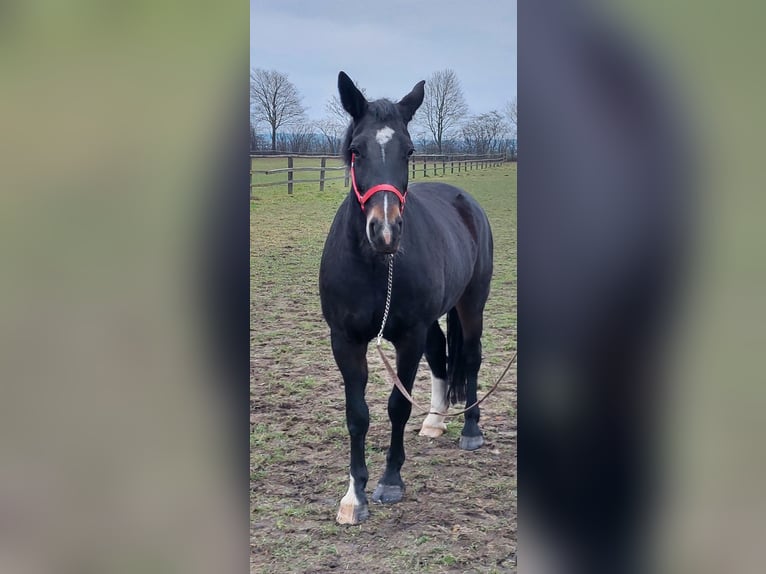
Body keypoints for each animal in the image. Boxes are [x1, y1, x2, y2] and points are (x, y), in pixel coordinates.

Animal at [319, 71, 494, 525]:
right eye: (356, 150)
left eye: (409, 150)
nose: (385, 231)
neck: (374, 266)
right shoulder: (345, 340)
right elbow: (357, 415)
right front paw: (354, 496)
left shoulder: (408, 336)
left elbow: (397, 405)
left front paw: (390, 482)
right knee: (441, 355)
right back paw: (435, 420)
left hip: (472, 302)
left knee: (470, 356)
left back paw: (470, 429)